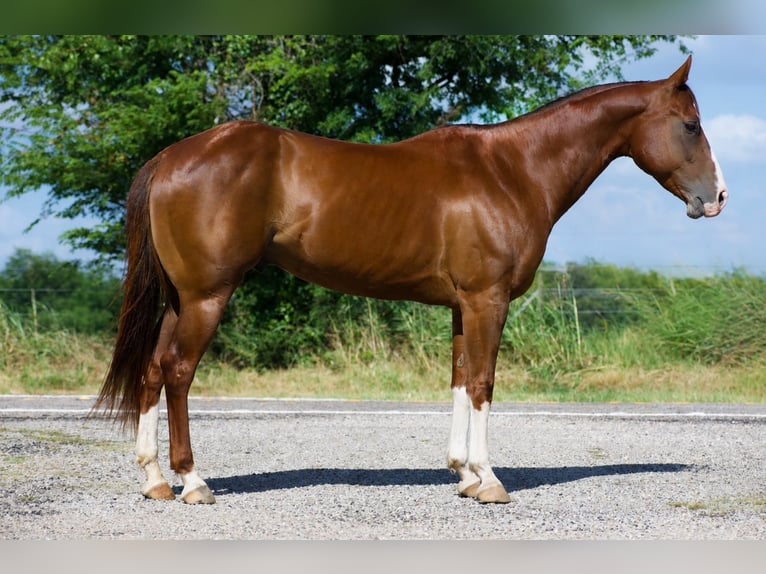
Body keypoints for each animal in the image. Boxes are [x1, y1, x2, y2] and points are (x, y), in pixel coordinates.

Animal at [94, 56, 727, 505]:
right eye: (691, 125)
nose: (718, 198)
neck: (512, 170)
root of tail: (171, 158)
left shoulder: (461, 305)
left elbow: (460, 379)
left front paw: (464, 475)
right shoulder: (487, 300)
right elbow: (484, 382)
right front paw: (490, 480)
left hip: (181, 298)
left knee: (152, 370)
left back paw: (154, 480)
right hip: (207, 296)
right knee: (178, 372)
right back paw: (194, 482)